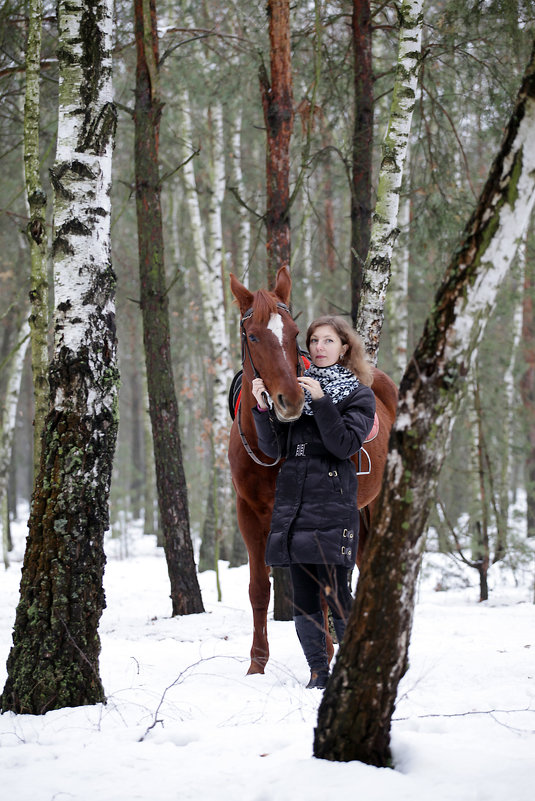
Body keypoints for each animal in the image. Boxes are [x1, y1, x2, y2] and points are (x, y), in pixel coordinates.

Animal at [227, 268, 398, 676]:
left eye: (292, 333)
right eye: (253, 336)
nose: (289, 400)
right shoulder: (249, 514)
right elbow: (259, 589)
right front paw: (257, 665)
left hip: (377, 504)